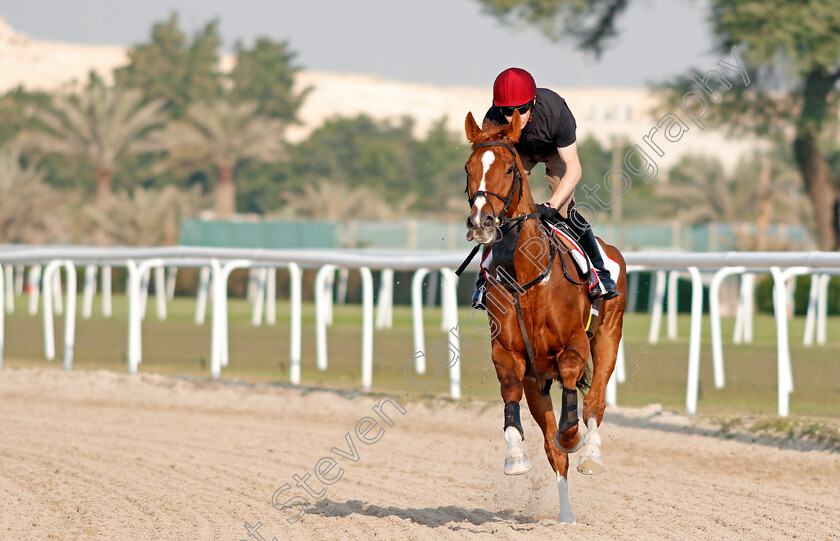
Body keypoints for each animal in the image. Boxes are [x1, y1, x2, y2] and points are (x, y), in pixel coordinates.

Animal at [466, 110, 624, 524]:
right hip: (538, 383)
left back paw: (590, 455)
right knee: (555, 455)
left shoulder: (574, 345)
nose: (482, 221)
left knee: (594, 402)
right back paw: (566, 516)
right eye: (468, 168)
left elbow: (571, 388)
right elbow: (511, 398)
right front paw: (515, 457)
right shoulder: (513, 357)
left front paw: (572, 436)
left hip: (608, 336)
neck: (527, 276)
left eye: (509, 168)